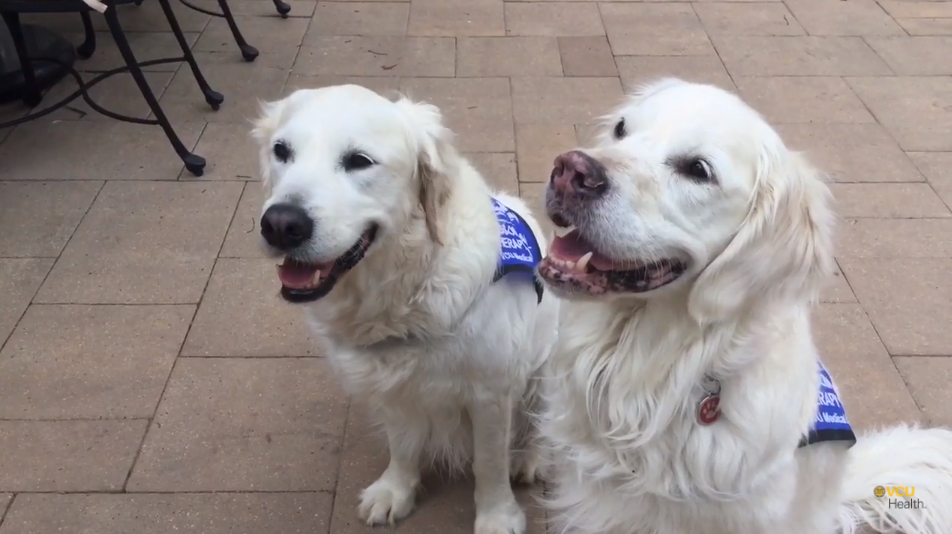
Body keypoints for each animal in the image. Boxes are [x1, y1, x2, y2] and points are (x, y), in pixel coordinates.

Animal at [249, 86, 556, 532]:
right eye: (281, 151)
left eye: (359, 161)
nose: (280, 225)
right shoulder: (390, 384)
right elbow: (403, 444)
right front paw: (396, 491)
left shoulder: (491, 392)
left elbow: (490, 463)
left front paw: (497, 516)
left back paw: (531, 458)